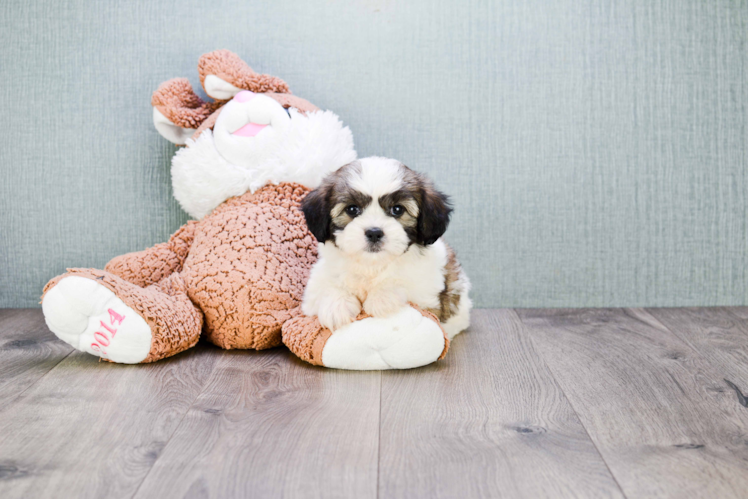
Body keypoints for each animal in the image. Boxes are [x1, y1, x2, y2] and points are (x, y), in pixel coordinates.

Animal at [300, 156, 470, 340]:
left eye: (398, 209)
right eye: (352, 209)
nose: (374, 233)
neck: (372, 265)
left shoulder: (427, 294)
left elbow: (402, 283)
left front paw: (382, 297)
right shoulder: (314, 289)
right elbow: (328, 286)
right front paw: (336, 306)